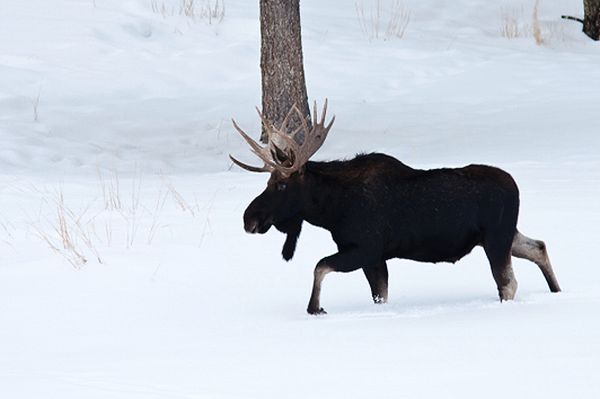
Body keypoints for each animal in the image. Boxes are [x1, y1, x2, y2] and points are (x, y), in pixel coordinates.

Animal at [230, 101, 564, 316]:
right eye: (269, 181)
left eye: (281, 185)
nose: (249, 218)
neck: (332, 210)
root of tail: (515, 186)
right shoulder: (374, 257)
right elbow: (379, 295)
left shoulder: (366, 249)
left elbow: (319, 266)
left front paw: (315, 308)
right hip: (503, 234)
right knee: (538, 246)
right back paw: (557, 291)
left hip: (496, 238)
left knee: (508, 283)